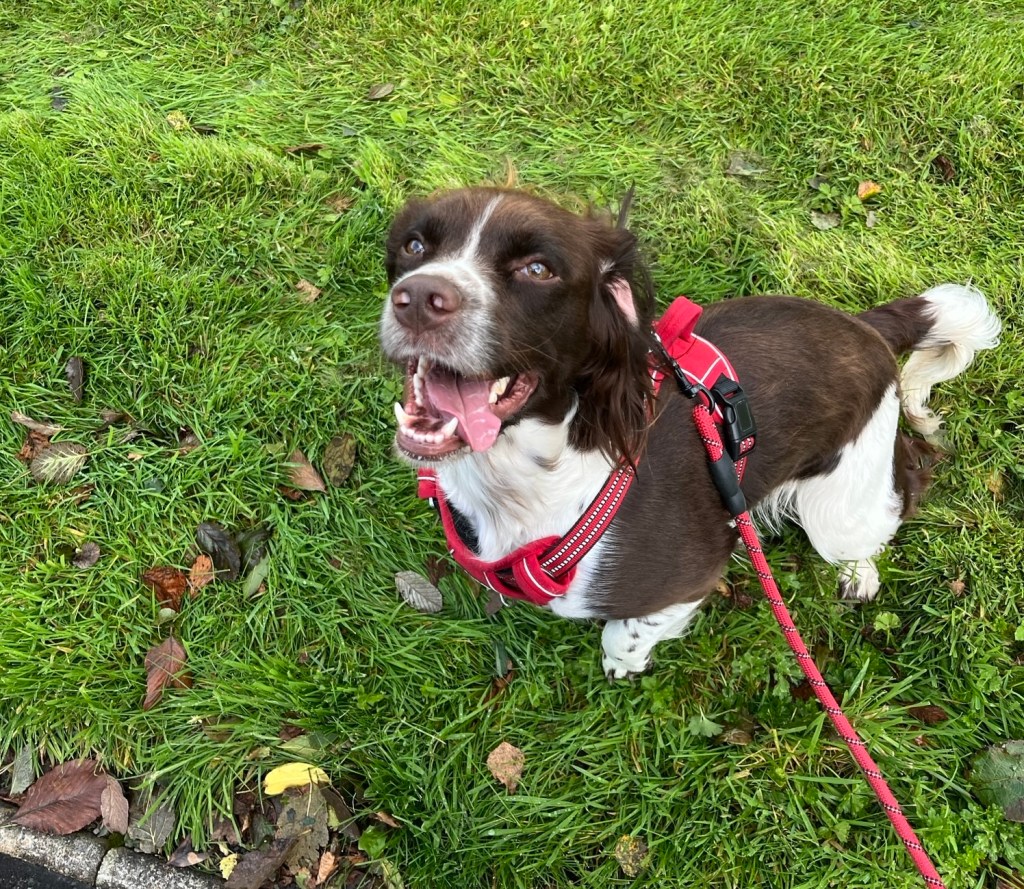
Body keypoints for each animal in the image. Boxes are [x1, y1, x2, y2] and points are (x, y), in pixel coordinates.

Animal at [378, 185, 999, 671]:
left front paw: (625, 664)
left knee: (897, 494)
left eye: (537, 269)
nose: (418, 299)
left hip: (841, 506)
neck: (527, 482)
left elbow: (622, 632)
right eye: (414, 246)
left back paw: (859, 570)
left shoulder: (692, 577)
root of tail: (866, 325)